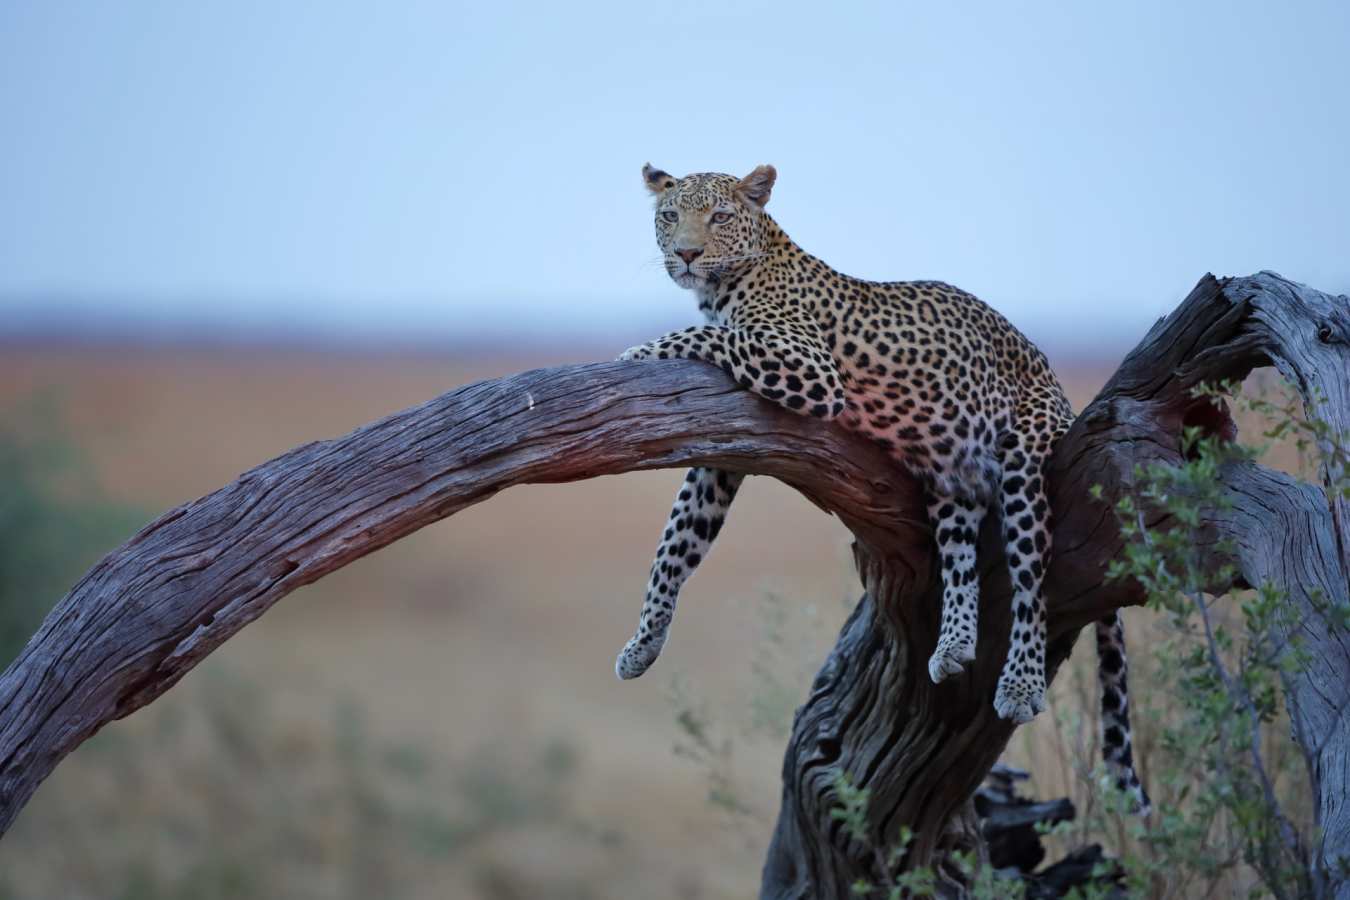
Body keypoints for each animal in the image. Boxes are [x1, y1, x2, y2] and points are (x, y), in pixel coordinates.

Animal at [613, 162, 1149, 812]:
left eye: (718, 217)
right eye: (670, 216)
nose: (688, 253)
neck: (724, 287)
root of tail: (1058, 387)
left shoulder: (811, 370)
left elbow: (716, 337)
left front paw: (639, 350)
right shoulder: (725, 451)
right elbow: (675, 545)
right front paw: (643, 643)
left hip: (1025, 461)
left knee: (1030, 575)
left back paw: (1019, 684)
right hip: (951, 476)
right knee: (961, 555)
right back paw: (953, 648)